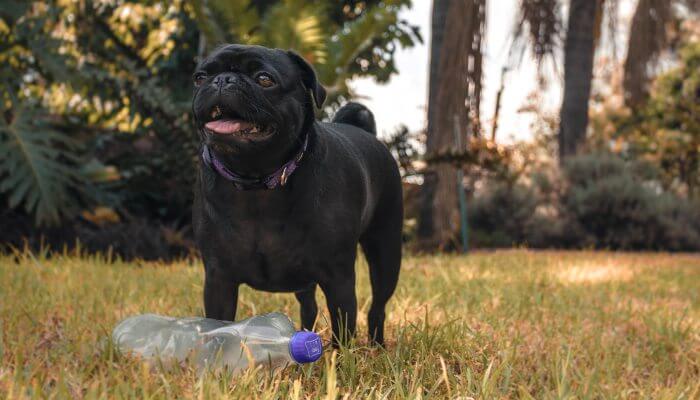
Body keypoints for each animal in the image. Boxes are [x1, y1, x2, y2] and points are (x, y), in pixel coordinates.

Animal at [191, 43, 402, 344]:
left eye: (264, 79)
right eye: (200, 77)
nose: (222, 79)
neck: (257, 182)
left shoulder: (338, 277)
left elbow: (343, 324)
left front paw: (339, 356)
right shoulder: (219, 279)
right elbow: (218, 324)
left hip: (385, 253)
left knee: (377, 307)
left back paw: (377, 345)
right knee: (309, 306)